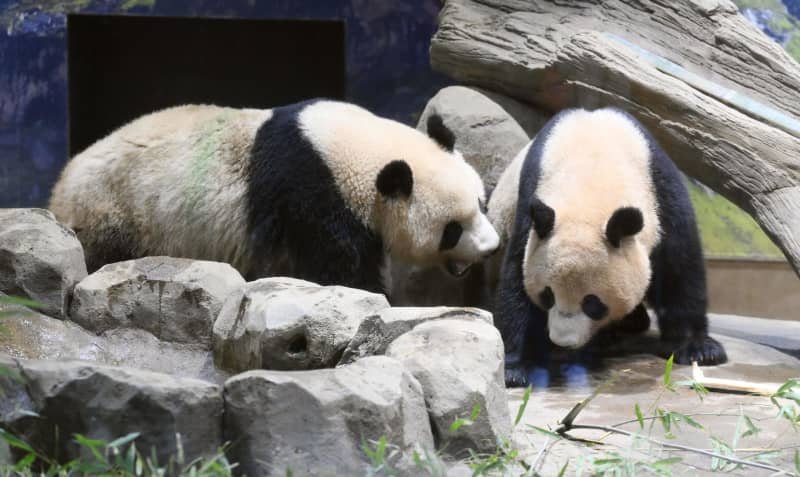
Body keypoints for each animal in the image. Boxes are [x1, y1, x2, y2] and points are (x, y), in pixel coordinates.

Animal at [50, 99, 496, 296]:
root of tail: (62, 183)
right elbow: (337, 270)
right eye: (452, 229)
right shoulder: (311, 195)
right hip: (116, 208)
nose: (492, 248)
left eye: (481, 204)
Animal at [490, 106, 728, 384]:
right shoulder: (532, 203)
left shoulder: (660, 188)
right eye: (547, 295)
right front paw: (513, 369)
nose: (563, 341)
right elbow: (517, 274)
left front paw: (699, 349)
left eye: (593, 303)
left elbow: (678, 268)